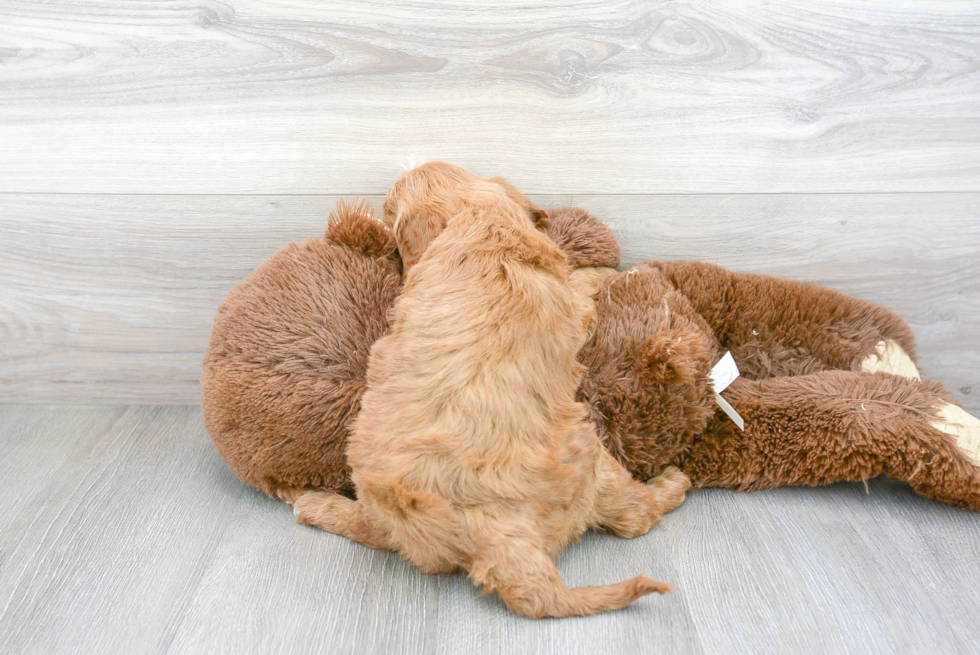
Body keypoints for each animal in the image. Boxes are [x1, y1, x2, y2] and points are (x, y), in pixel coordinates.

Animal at [294, 164, 692, 620]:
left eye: (389, 207)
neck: (481, 222)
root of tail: (494, 537)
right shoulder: (574, 309)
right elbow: (579, 282)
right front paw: (610, 272)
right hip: (592, 456)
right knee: (635, 517)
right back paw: (671, 482)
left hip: (375, 493)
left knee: (369, 528)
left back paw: (314, 504)